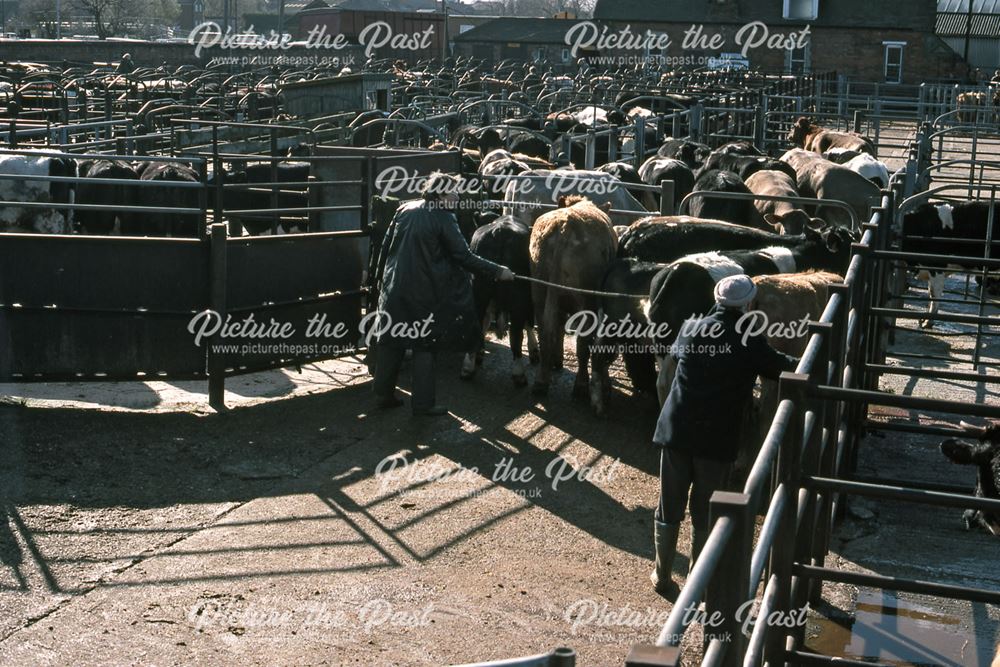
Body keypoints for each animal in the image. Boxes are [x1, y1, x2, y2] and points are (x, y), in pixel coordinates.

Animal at [532, 196, 616, 400]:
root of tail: (564, 225)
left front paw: (558, 360)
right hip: (585, 300)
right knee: (583, 344)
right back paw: (581, 385)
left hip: (539, 291)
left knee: (546, 332)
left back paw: (541, 381)